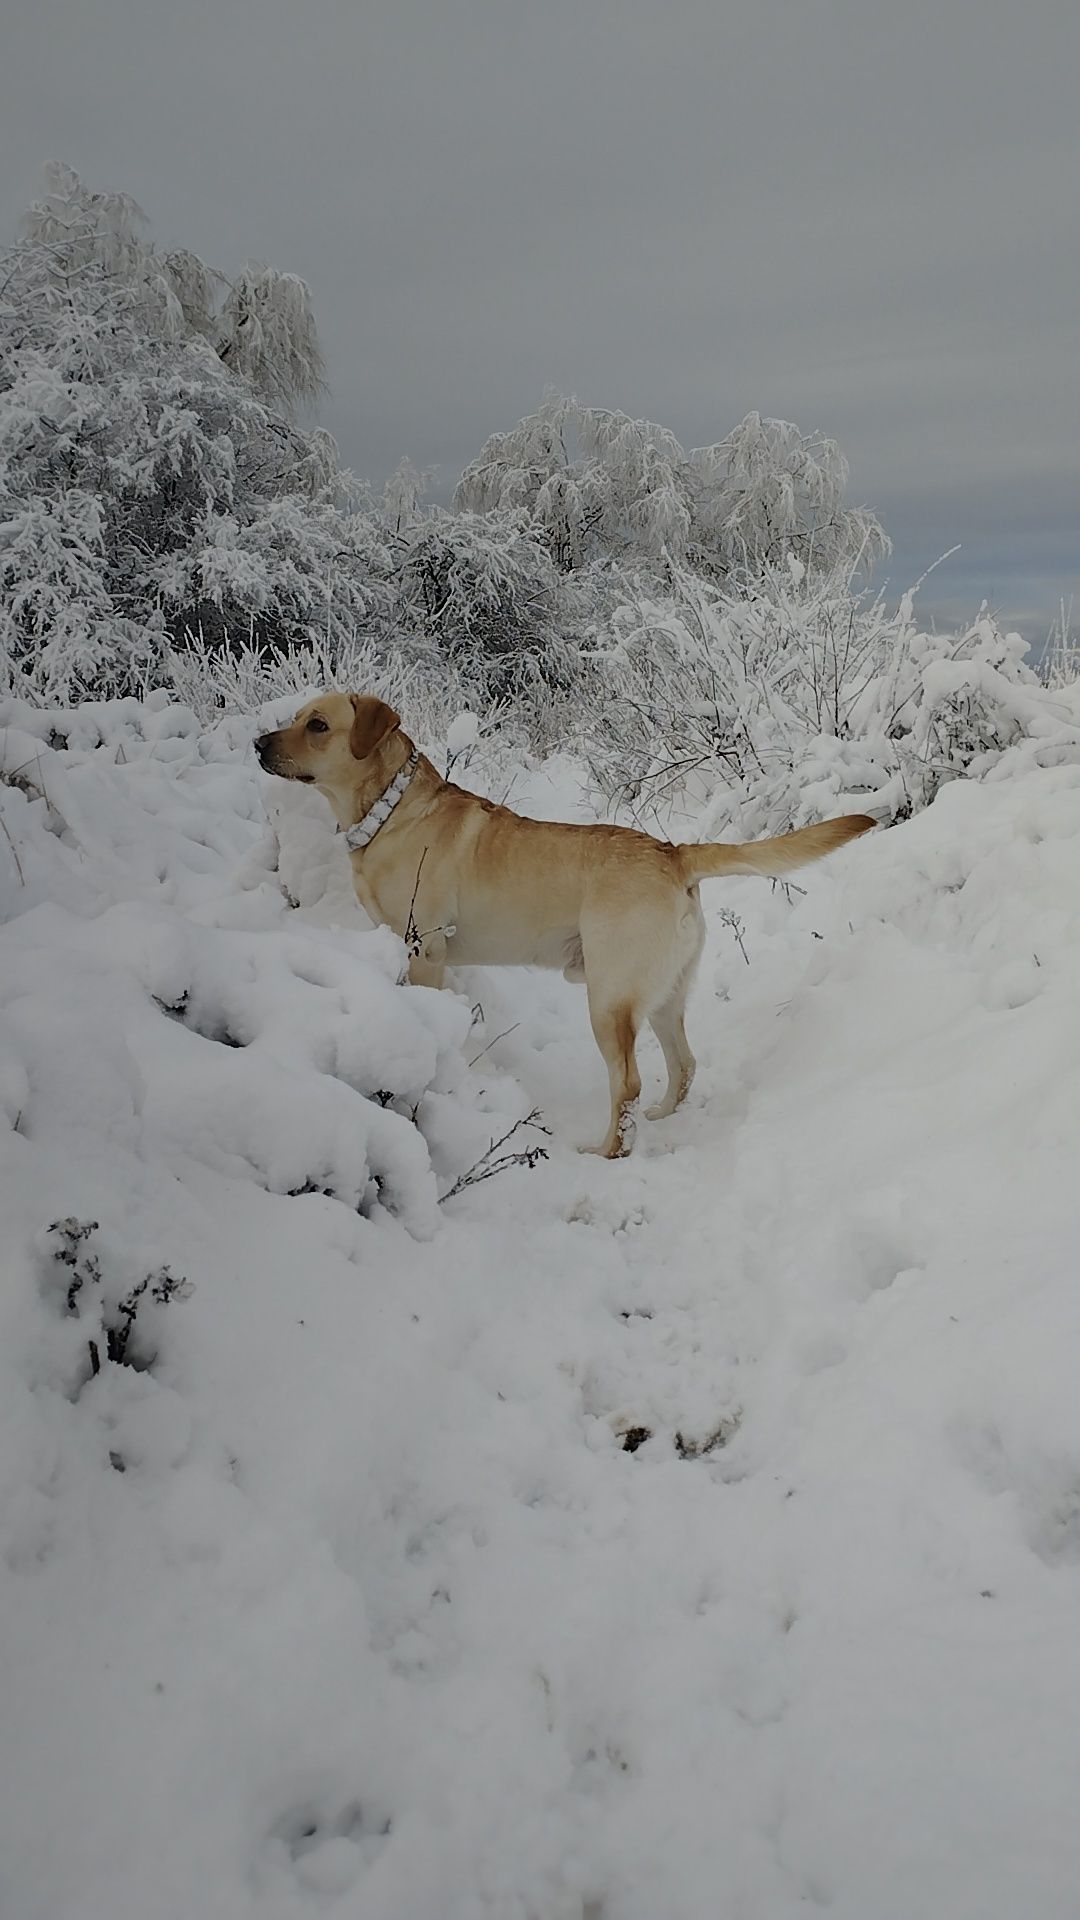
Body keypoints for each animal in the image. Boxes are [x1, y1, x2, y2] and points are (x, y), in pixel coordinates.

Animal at [253, 702, 876, 1159]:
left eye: (317, 725)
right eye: (297, 715)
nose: (259, 743)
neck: (388, 809)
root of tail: (672, 851)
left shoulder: (423, 948)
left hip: (610, 998)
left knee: (627, 1083)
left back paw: (606, 1152)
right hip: (663, 995)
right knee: (684, 1063)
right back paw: (662, 1119)